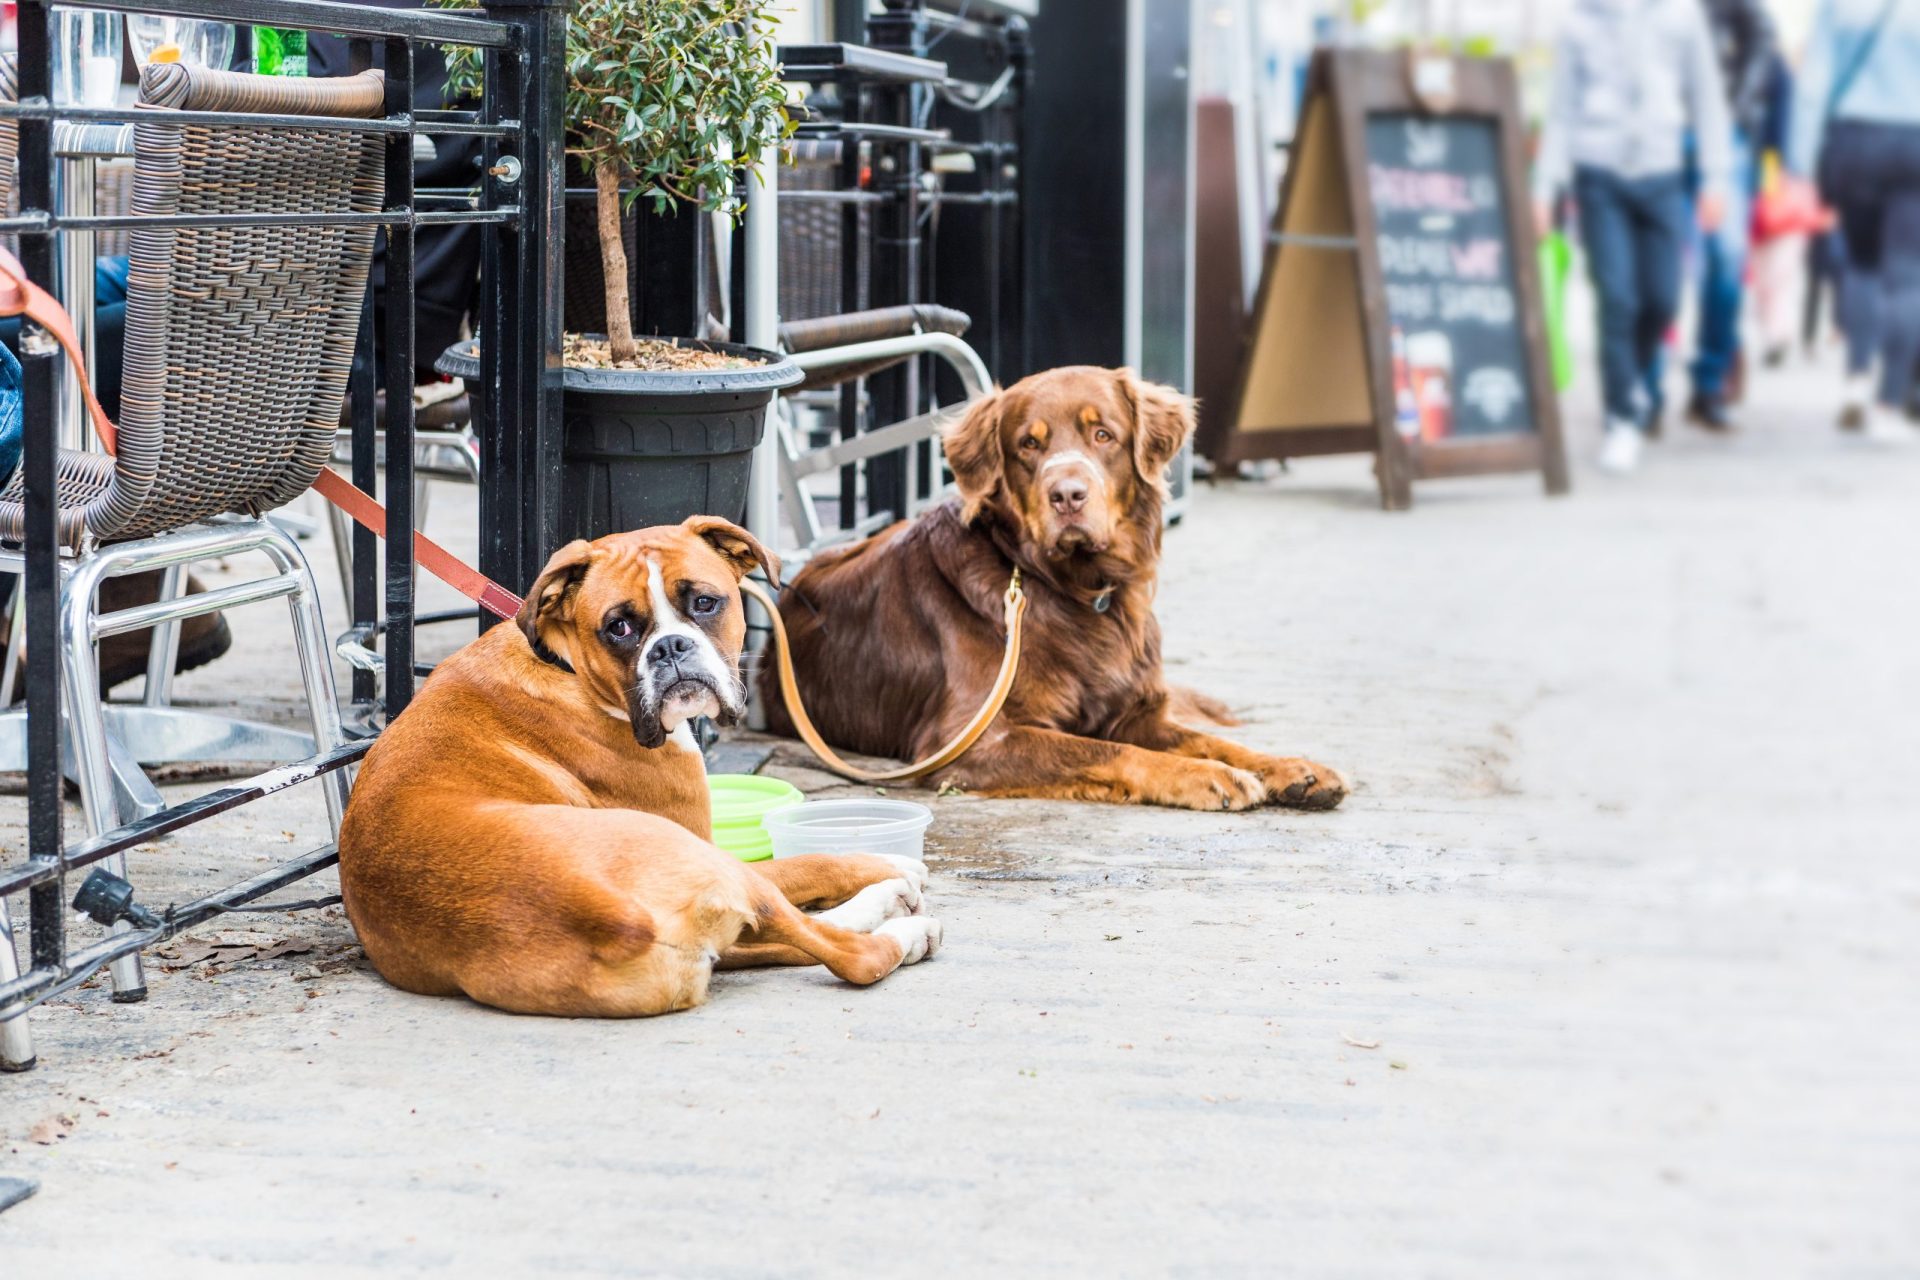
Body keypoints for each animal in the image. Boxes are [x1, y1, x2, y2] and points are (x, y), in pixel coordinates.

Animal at [347, 514, 952, 1013]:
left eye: (705, 603)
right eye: (619, 627)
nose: (670, 648)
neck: (567, 667)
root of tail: (615, 919)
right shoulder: (705, 838)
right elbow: (806, 863)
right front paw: (888, 863)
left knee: (782, 940)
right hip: (703, 859)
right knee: (842, 951)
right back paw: (898, 919)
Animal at [764, 364, 1351, 817]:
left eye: (1103, 435)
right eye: (1029, 443)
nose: (1067, 494)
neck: (1076, 594)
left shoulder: (1138, 712)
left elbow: (1212, 739)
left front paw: (1291, 768)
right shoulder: (974, 739)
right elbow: (1107, 750)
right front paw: (1206, 775)